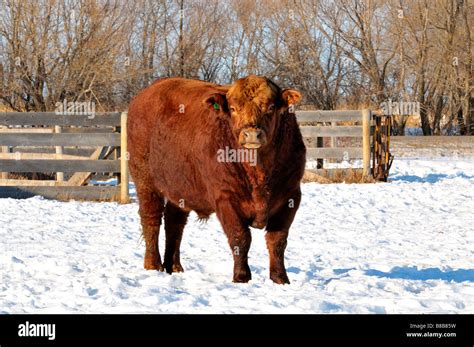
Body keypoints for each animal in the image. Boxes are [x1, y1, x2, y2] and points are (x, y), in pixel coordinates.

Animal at [127, 76, 304, 286]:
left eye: (270, 107)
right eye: (233, 108)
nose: (251, 133)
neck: (258, 171)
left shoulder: (291, 196)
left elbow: (277, 240)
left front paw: (280, 278)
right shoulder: (225, 198)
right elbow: (240, 238)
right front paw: (241, 277)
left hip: (180, 188)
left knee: (174, 223)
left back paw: (174, 267)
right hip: (145, 181)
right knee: (151, 219)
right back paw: (153, 265)